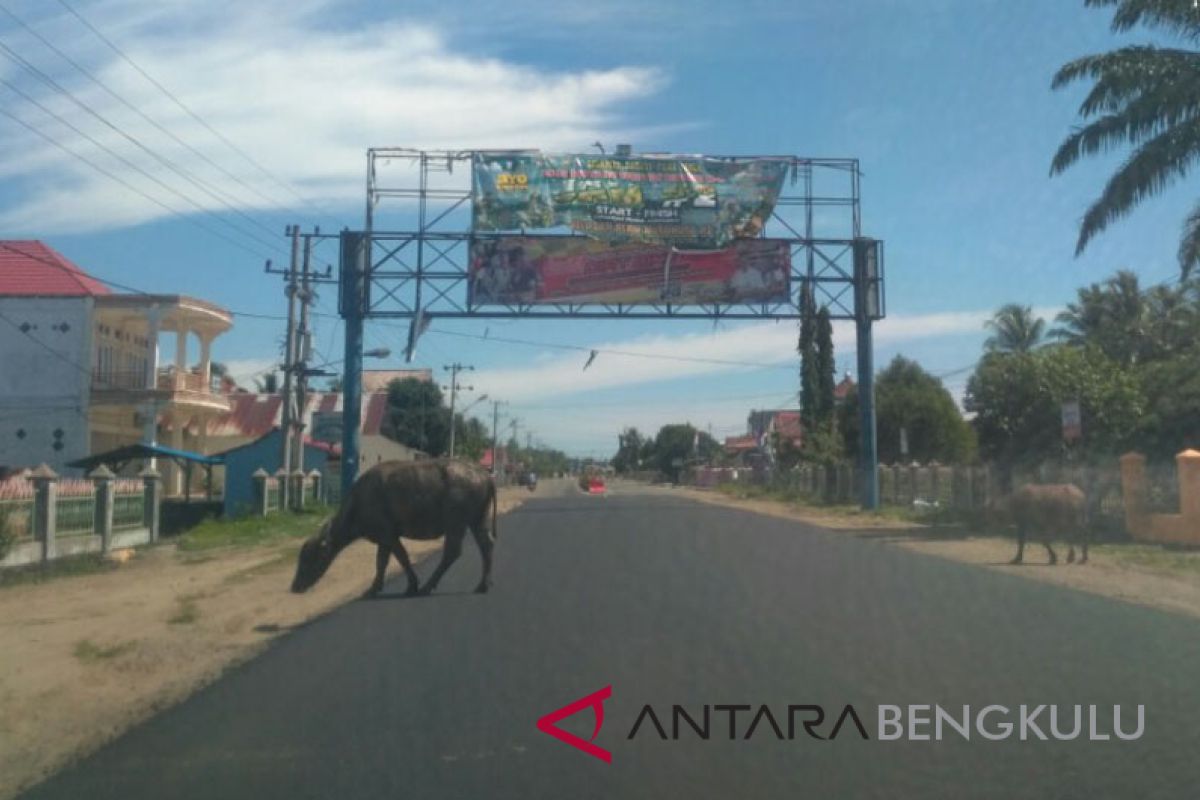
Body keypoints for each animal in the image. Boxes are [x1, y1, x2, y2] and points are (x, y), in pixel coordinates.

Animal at [291, 460, 496, 597]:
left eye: (310, 558)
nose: (295, 587)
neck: (359, 501)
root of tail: (485, 475)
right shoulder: (386, 540)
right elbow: (386, 560)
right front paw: (381, 587)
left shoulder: (388, 536)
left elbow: (396, 559)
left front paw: (402, 586)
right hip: (477, 521)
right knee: (486, 545)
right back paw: (482, 585)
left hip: (456, 524)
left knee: (452, 552)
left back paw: (427, 587)